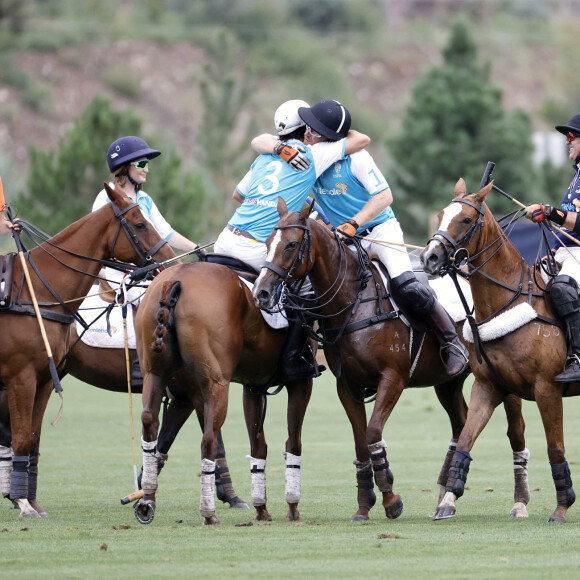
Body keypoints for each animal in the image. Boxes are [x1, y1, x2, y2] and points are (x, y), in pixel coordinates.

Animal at [0, 181, 177, 516]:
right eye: (139, 223)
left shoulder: (44, 379)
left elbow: (33, 439)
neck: (36, 293)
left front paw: (30, 501)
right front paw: (24, 504)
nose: (172, 263)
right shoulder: (20, 378)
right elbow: (21, 438)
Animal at [135, 260, 312, 524]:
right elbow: (293, 442)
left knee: (149, 422)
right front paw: (292, 507)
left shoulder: (253, 385)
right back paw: (208, 513)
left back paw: (147, 499)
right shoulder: (301, 382)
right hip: (216, 382)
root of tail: (177, 279)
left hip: (154, 373)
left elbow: (258, 445)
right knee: (209, 438)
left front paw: (262, 509)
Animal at [253, 198, 532, 520]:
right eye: (267, 242)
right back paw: (444, 496)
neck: (354, 301)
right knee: (462, 423)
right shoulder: (347, 385)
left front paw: (390, 499)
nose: (261, 292)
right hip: (447, 381)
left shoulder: (393, 378)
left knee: (515, 430)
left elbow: (374, 433)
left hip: (501, 378)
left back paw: (519, 502)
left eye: (292, 244)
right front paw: (364, 505)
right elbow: (361, 441)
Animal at [422, 179, 580, 524]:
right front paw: (448, 501)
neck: (509, 299)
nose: (429, 257)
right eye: (440, 215)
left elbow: (556, 447)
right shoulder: (489, 385)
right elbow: (466, 438)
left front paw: (561, 508)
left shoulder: (547, 389)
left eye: (466, 219)